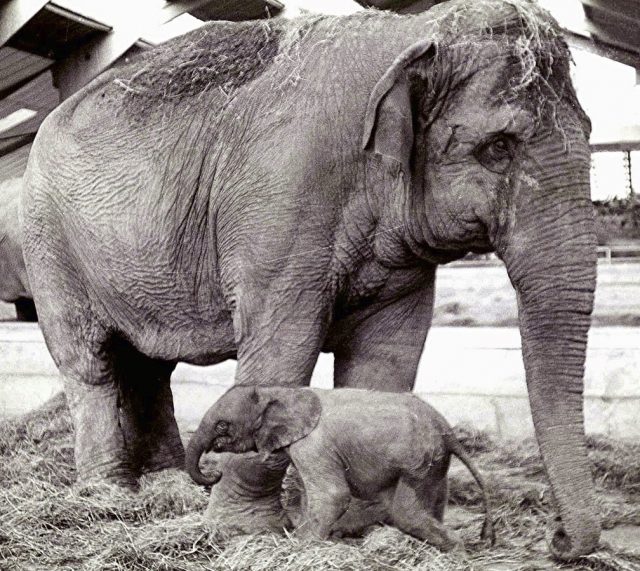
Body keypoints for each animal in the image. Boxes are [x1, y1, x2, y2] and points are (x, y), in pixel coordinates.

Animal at [185, 386, 496, 552]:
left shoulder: (313, 445)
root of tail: (448, 431)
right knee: (433, 502)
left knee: (406, 514)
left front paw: (300, 545)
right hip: (434, 461)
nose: (214, 474)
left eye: (222, 425)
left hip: (418, 460)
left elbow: (332, 495)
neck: (279, 390)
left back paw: (456, 553)